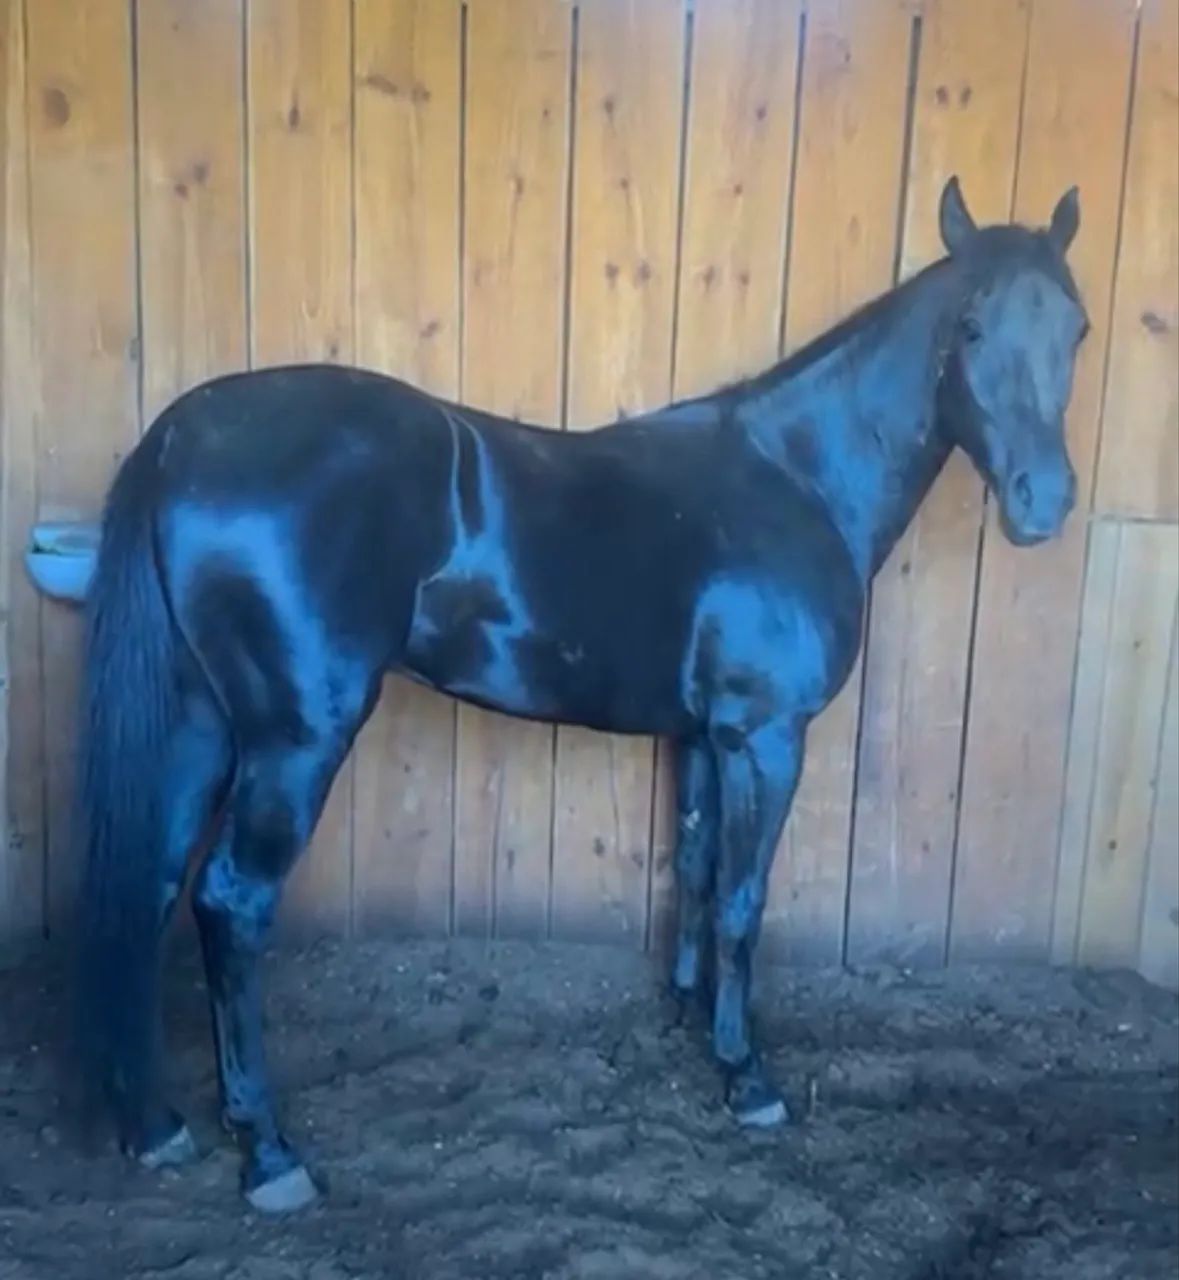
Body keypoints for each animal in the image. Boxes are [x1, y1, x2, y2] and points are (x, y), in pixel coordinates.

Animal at [73, 176, 1089, 1212]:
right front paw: (747, 1078)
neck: (796, 478)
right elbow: (744, 897)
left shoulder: (704, 737)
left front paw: (687, 1016)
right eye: (969, 325)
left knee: (151, 887)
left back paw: (155, 1127)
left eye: (1077, 328)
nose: (1041, 502)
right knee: (231, 903)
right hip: (294, 741)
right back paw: (270, 1154)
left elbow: (695, 870)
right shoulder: (765, 737)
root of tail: (181, 436)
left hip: (201, 725)